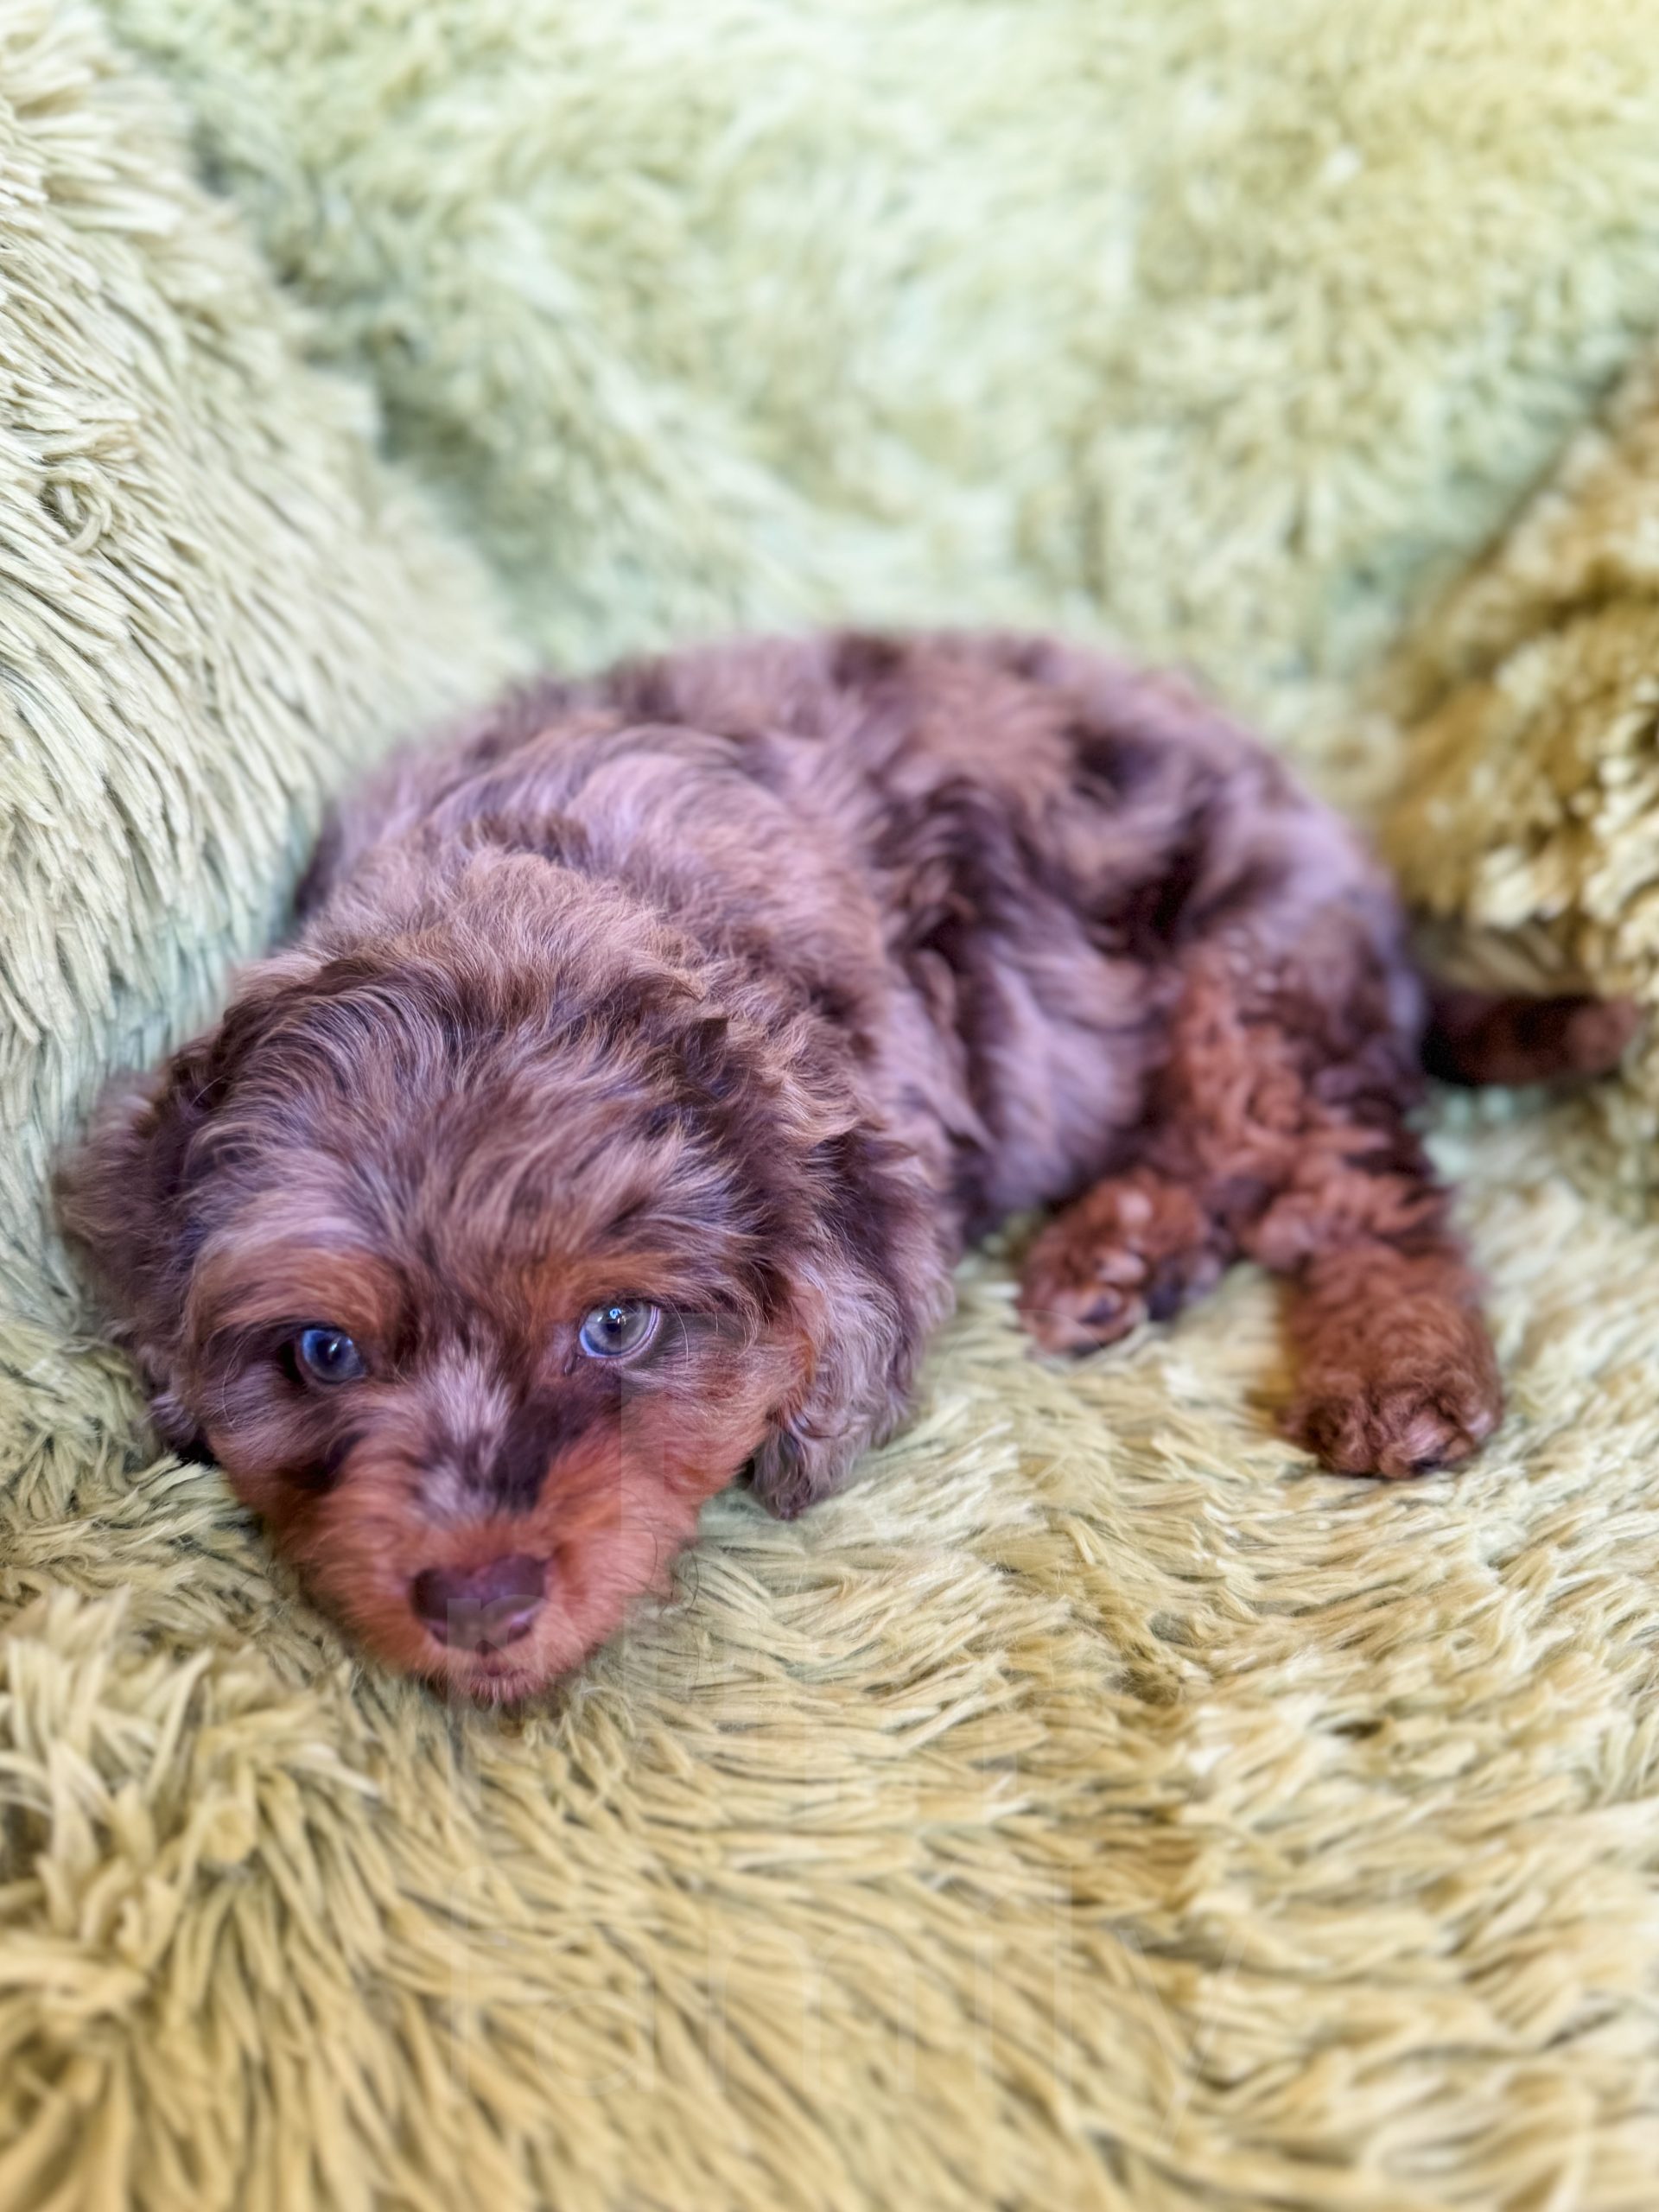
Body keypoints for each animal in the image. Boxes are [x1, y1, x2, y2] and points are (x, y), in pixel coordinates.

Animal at [55, 632, 1637, 1699]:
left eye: (616, 1327)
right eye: (322, 1352)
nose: (480, 1604)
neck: (534, 881)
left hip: (1253, 977)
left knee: (1355, 1185)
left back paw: (1395, 1371)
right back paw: (1115, 1254)